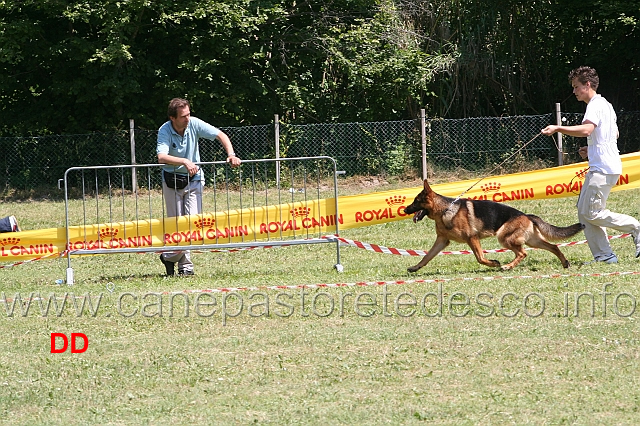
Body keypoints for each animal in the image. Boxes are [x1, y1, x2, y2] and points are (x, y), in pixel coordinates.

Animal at [404, 178, 584, 272]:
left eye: (415, 201)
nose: (405, 209)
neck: (444, 210)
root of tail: (527, 215)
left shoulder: (472, 238)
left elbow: (480, 257)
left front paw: (494, 263)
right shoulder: (442, 241)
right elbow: (427, 256)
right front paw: (415, 267)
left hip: (504, 237)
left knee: (523, 253)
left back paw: (507, 266)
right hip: (533, 240)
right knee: (553, 246)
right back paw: (565, 263)